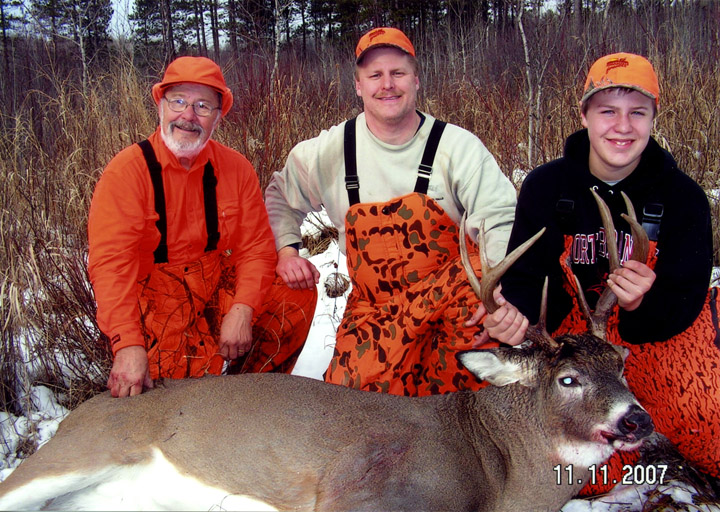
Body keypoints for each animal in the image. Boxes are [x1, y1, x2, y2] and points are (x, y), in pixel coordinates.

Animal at [0, 191, 652, 512]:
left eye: (621, 361)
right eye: (567, 379)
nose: (637, 419)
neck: (501, 480)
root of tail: (84, 407)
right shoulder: (355, 487)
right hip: (77, 452)